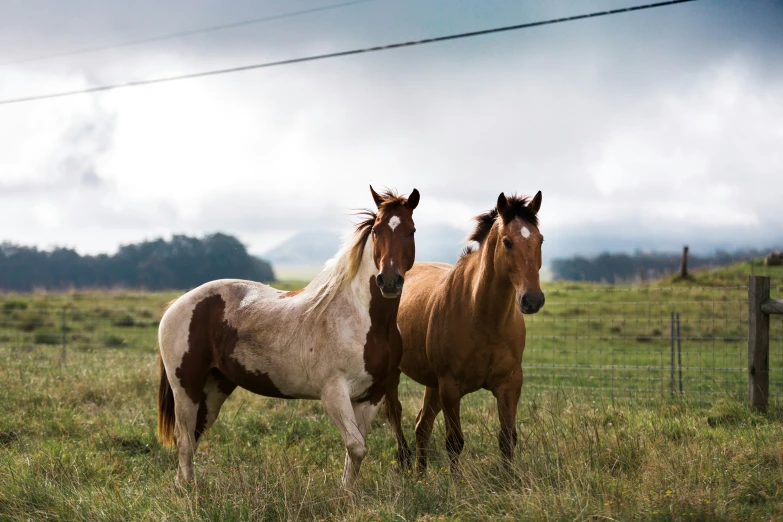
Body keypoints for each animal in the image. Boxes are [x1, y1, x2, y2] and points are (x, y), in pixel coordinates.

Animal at [156, 186, 420, 484]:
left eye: (411, 231)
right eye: (376, 231)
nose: (389, 281)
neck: (365, 322)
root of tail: (177, 304)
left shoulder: (372, 396)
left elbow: (355, 453)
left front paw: (349, 493)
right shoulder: (334, 393)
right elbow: (356, 447)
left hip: (215, 387)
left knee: (194, 436)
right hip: (185, 388)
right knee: (184, 439)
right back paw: (189, 490)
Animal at [382, 190, 544, 472]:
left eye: (541, 240)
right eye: (507, 242)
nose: (532, 300)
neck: (484, 319)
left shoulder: (509, 384)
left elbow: (507, 438)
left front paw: (509, 479)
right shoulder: (451, 387)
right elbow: (454, 442)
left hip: (432, 384)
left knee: (422, 426)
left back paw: (420, 476)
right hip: (398, 375)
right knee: (395, 413)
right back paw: (405, 464)